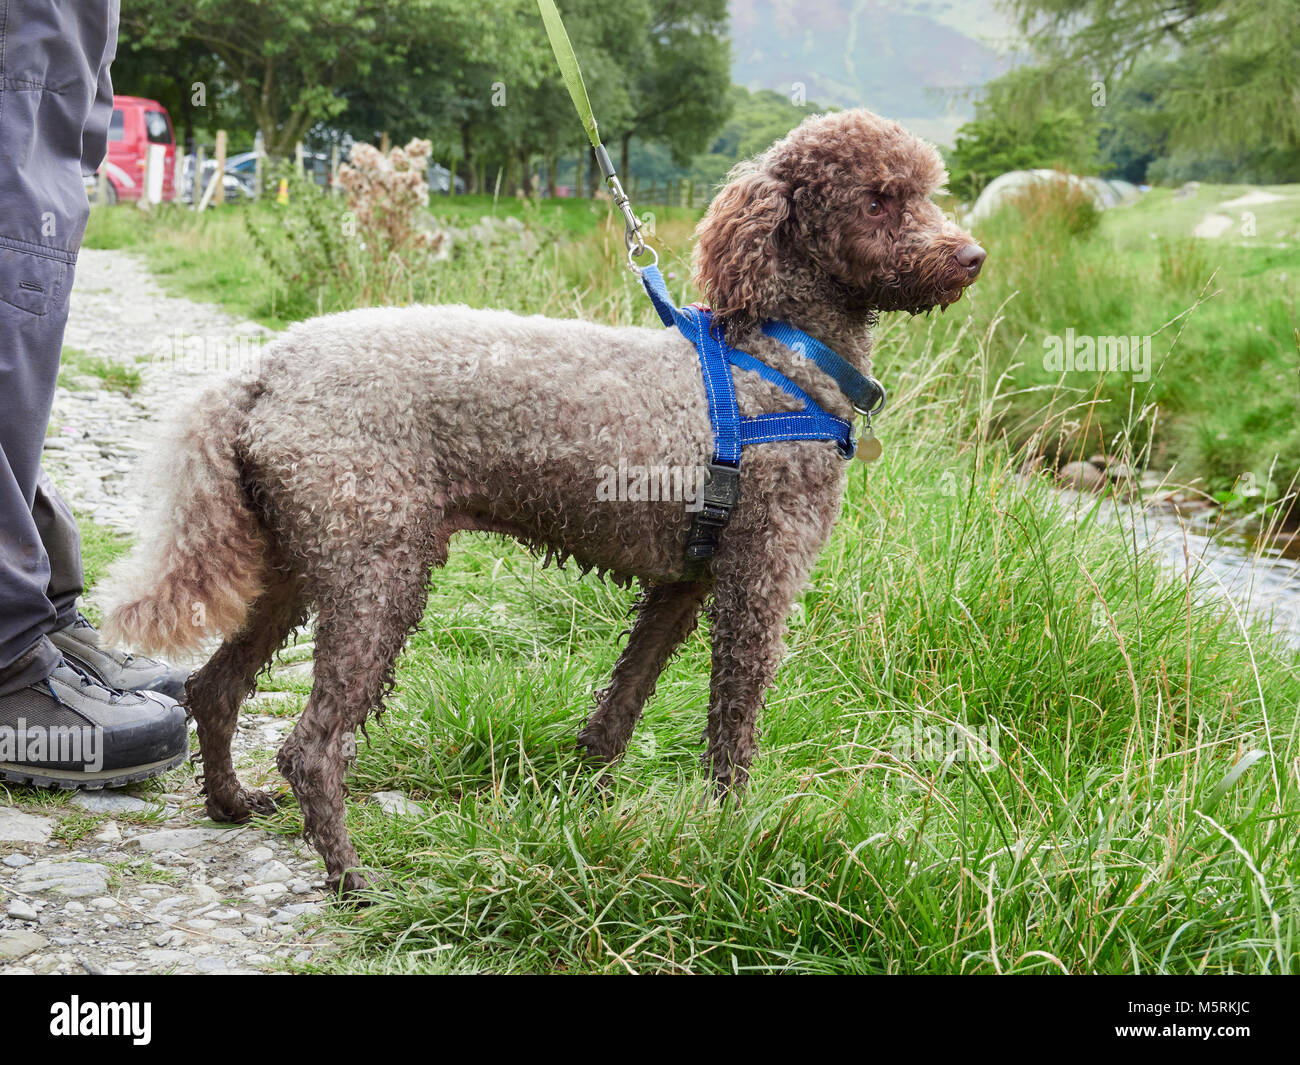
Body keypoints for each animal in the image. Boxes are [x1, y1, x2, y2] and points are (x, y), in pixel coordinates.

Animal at [101, 108, 977, 894]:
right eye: (878, 199)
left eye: (927, 190)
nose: (971, 256)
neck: (777, 357)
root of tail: (262, 373)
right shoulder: (758, 578)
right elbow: (734, 721)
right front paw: (734, 828)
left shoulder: (682, 583)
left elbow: (622, 703)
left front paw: (587, 794)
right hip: (377, 569)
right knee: (311, 744)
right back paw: (349, 874)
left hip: (296, 561)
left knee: (214, 686)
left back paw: (229, 801)